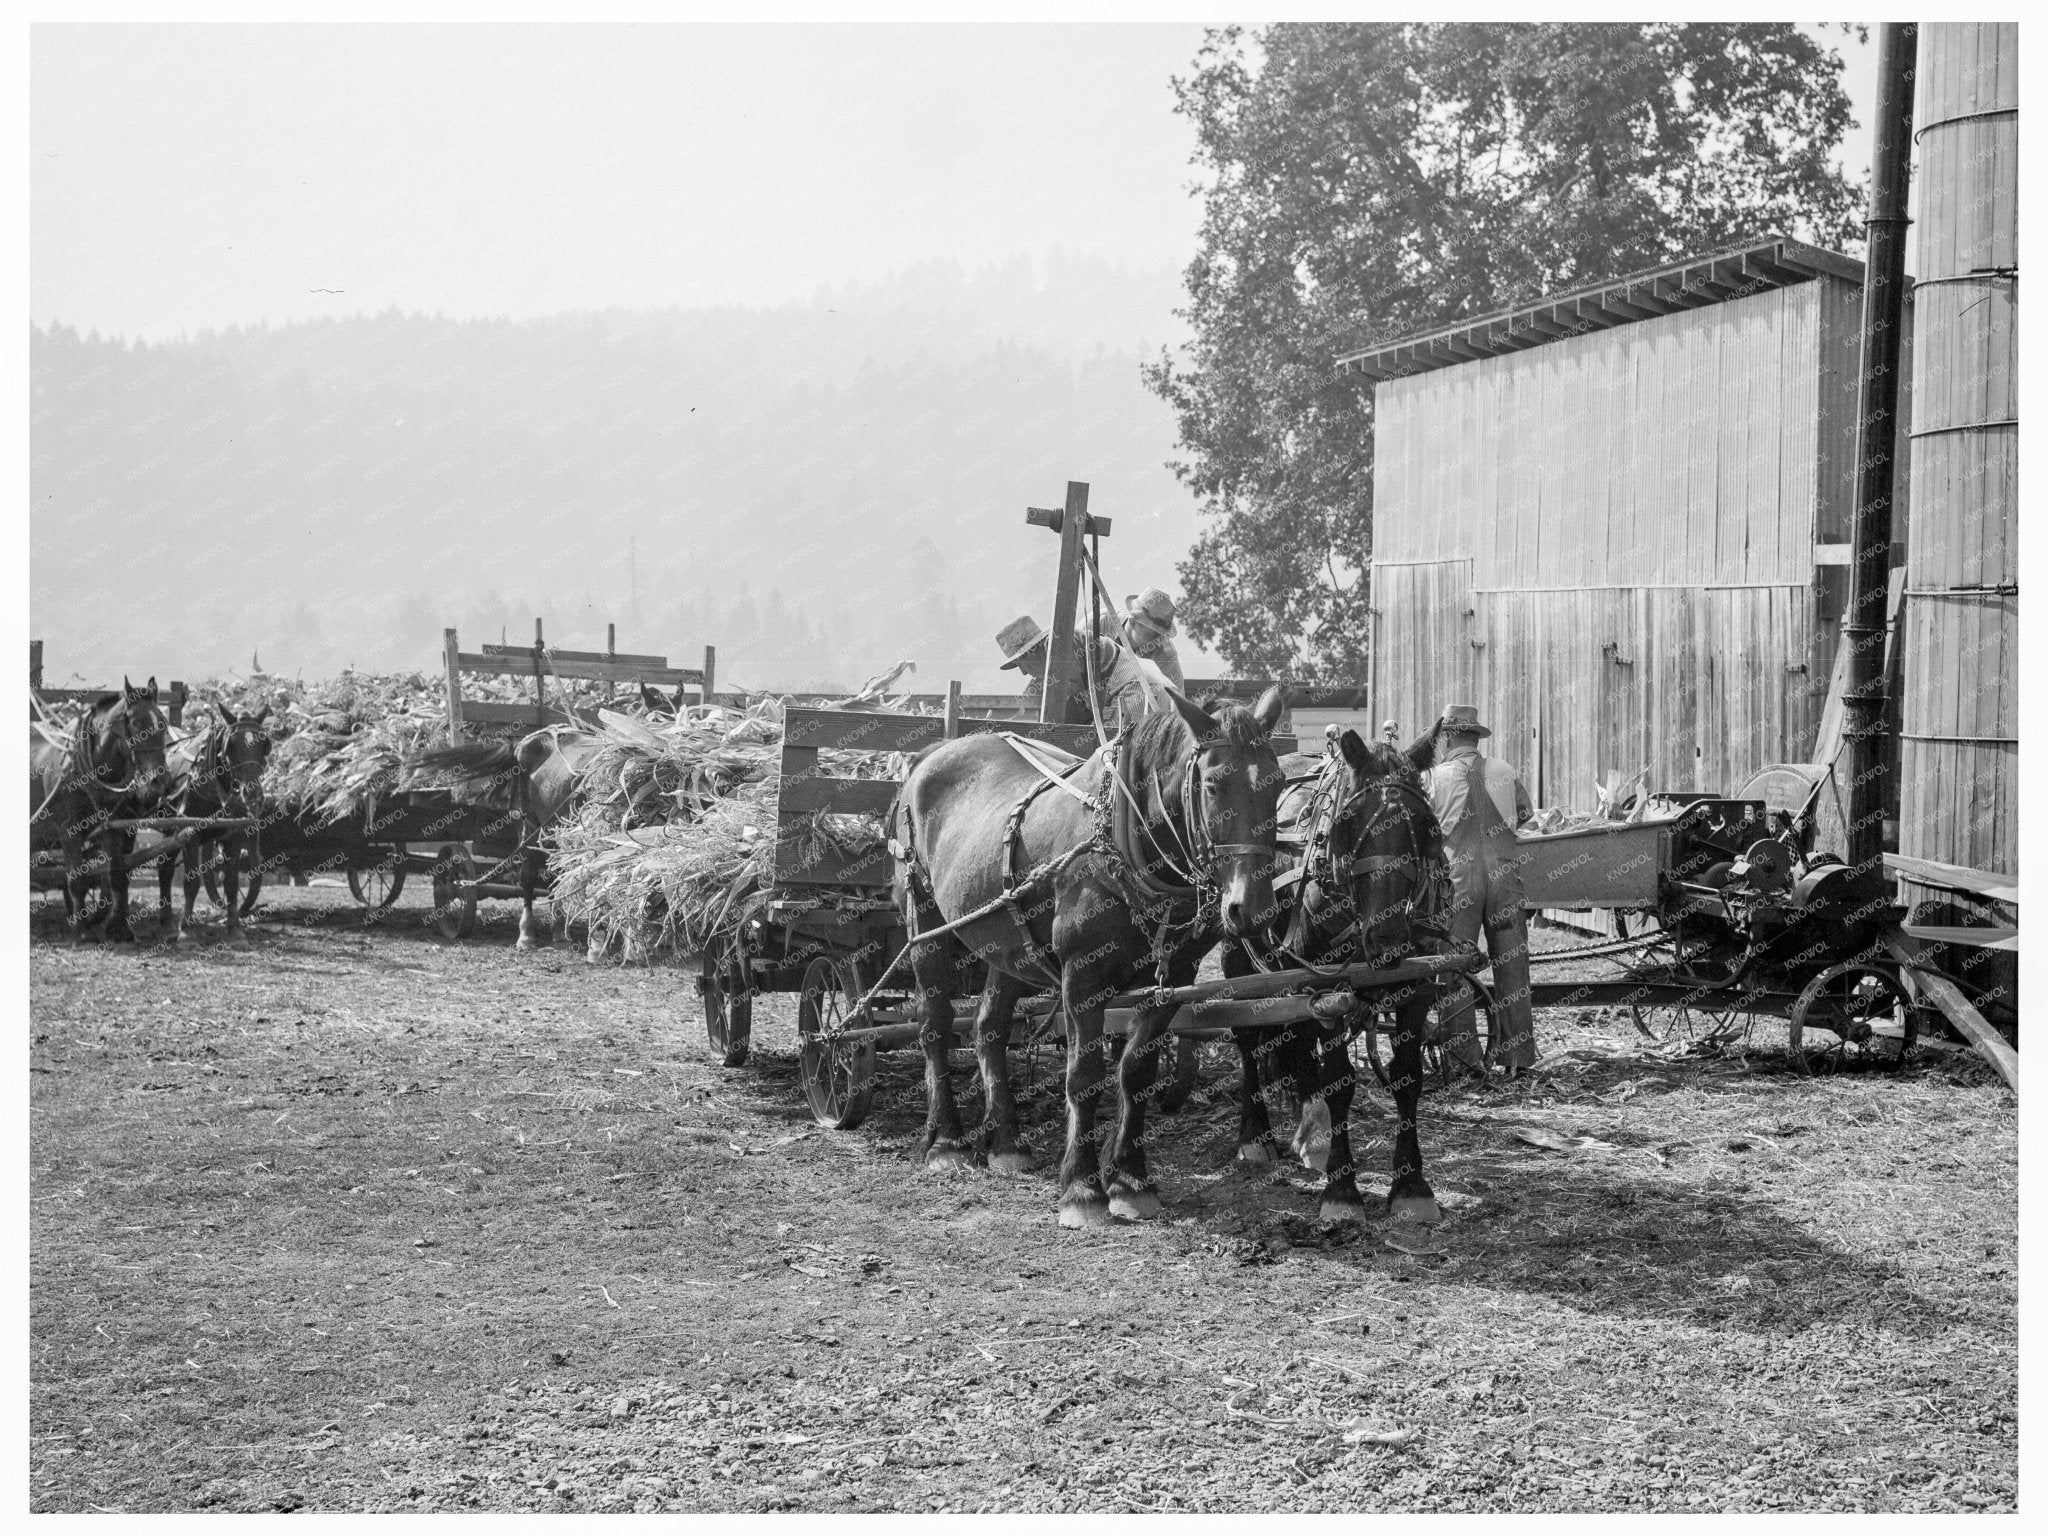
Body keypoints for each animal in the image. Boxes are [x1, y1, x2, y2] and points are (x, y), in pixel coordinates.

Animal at [29, 679, 176, 946]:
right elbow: (76, 879)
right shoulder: (69, 831)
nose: (159, 780)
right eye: (136, 723)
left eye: (163, 722)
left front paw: (118, 929)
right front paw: (81, 931)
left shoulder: (113, 826)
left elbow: (116, 875)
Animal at [155, 704, 274, 946]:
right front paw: (187, 932)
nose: (253, 795)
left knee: (165, 869)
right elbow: (191, 884)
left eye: (264, 744)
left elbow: (231, 883)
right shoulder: (189, 835)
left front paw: (235, 930)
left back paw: (167, 924)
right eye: (232, 744)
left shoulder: (233, 835)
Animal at [892, 692, 1286, 1236]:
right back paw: (946, 1142)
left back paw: (1007, 1143)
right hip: (924, 923)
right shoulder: (1083, 976)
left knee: (989, 1029)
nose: (1253, 909)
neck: (1124, 841)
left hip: (1005, 941)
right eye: (1212, 784)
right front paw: (1082, 1189)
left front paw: (1131, 1181)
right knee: (934, 1026)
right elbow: (1084, 1076)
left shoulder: (1174, 977)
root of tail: (932, 753)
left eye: (1280, 782)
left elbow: (1135, 1073)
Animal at [1212, 729, 1458, 1228]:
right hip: (1238, 949)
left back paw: (1314, 1136)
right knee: (1250, 1042)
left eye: (1428, 826)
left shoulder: (1419, 985)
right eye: (1347, 823)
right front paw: (1342, 1191)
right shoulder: (1327, 987)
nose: (1387, 938)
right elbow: (1340, 1082)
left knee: (1300, 1044)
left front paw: (1410, 1185)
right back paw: (1256, 1136)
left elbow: (1407, 1077)